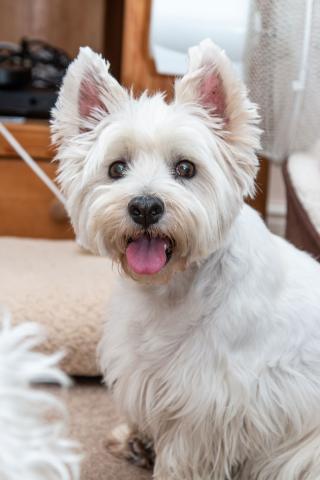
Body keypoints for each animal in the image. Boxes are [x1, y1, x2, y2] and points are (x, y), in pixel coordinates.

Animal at [51, 39, 320, 478]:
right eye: (116, 168)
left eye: (185, 168)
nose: (145, 207)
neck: (171, 290)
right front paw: (137, 438)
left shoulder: (209, 402)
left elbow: (181, 455)